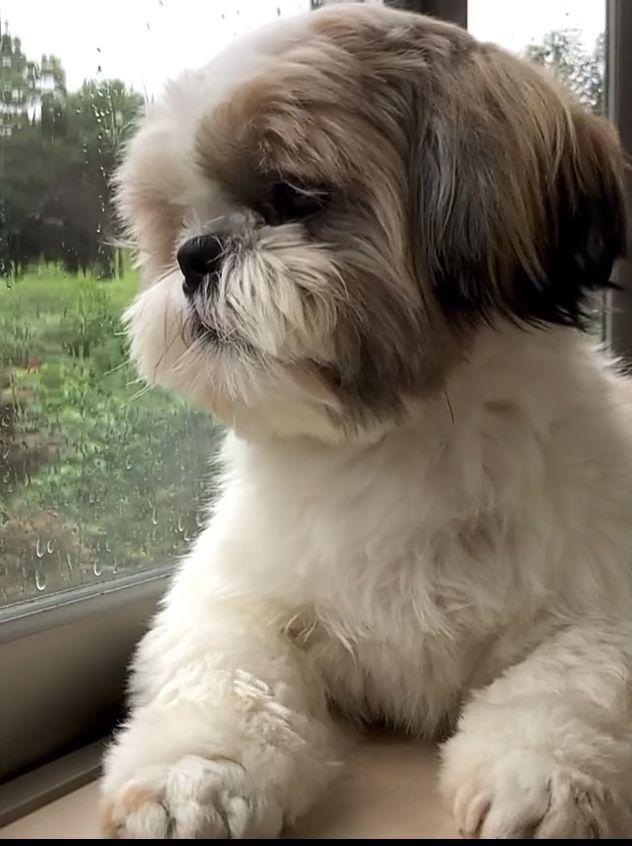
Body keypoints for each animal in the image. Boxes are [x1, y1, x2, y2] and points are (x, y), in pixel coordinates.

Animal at [99, 1, 632, 840]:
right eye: (178, 222)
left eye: (291, 195)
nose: (194, 253)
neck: (392, 450)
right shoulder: (230, 592)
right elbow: (225, 669)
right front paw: (193, 771)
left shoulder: (604, 593)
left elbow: (570, 679)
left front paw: (540, 780)